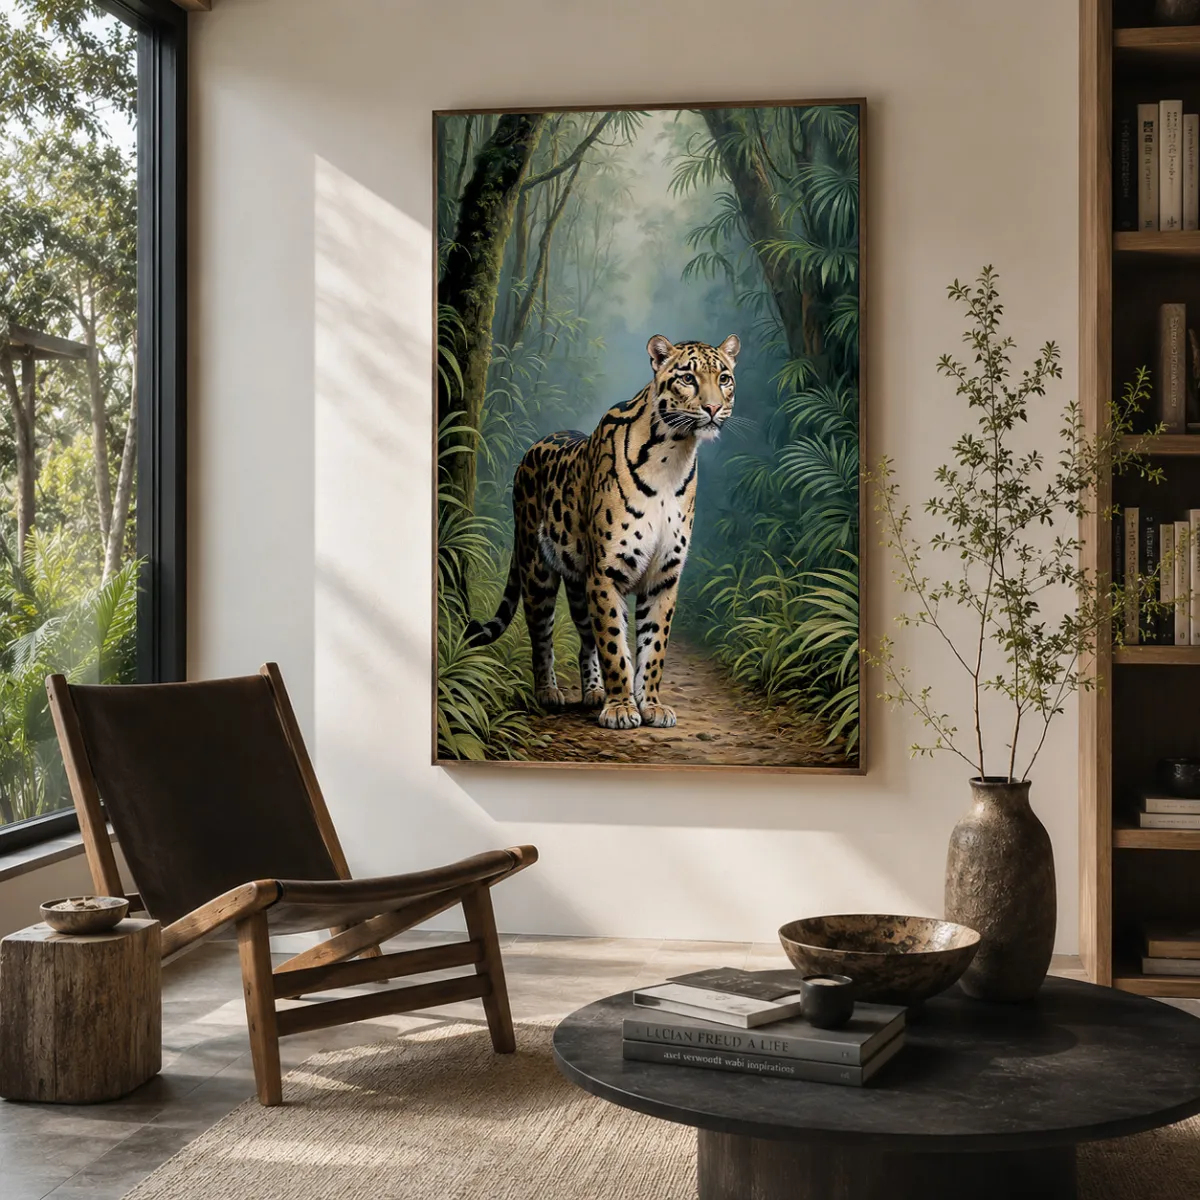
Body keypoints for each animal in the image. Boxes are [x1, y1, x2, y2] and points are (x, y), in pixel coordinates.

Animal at [466, 333, 740, 730]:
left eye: (724, 378)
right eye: (688, 378)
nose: (713, 408)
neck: (674, 455)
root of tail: (533, 448)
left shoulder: (664, 576)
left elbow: (653, 646)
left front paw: (651, 704)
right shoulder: (607, 572)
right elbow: (614, 644)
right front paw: (622, 708)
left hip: (579, 583)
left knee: (585, 640)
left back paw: (593, 691)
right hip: (537, 571)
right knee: (541, 635)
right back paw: (548, 692)